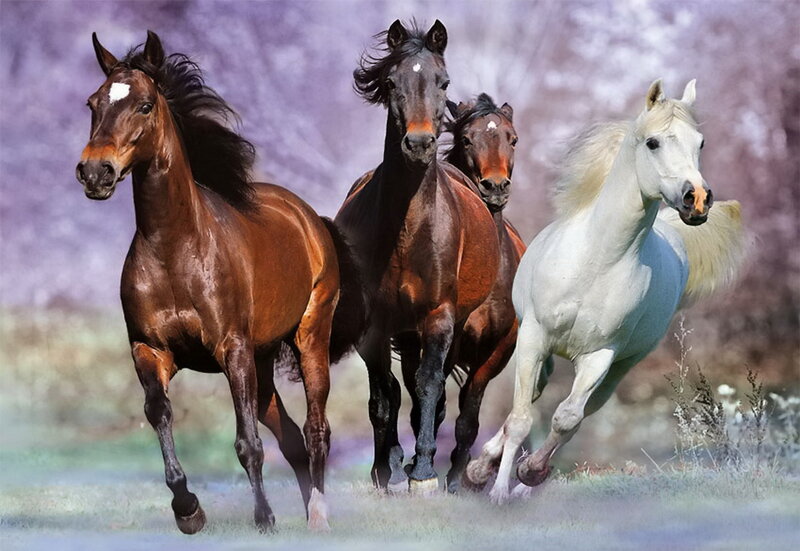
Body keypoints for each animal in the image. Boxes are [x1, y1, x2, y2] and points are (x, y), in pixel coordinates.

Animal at [75, 31, 361, 532]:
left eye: (145, 105)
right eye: (93, 103)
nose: (95, 172)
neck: (176, 251)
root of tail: (311, 219)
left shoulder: (232, 350)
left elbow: (248, 443)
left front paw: (264, 518)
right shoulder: (151, 351)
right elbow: (159, 412)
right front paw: (188, 510)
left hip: (308, 338)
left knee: (315, 428)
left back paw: (318, 517)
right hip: (262, 364)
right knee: (291, 437)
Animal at [335, 20, 501, 494]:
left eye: (443, 82)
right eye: (392, 82)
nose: (420, 144)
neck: (407, 229)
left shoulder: (438, 316)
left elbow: (428, 387)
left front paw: (424, 473)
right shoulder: (375, 325)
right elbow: (382, 397)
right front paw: (385, 469)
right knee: (395, 390)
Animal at [465, 79, 748, 503]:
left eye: (700, 142)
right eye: (652, 142)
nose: (697, 199)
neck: (597, 261)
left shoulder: (601, 355)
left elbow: (567, 418)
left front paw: (529, 473)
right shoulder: (533, 337)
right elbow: (519, 419)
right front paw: (495, 489)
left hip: (622, 365)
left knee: (583, 409)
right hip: (541, 349)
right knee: (532, 396)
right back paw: (482, 469)